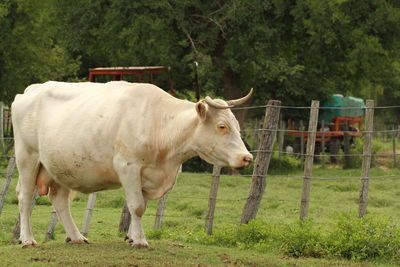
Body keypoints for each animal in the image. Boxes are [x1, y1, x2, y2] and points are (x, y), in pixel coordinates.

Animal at [12, 81, 253, 249]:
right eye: (221, 126)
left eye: (236, 125)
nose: (247, 158)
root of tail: (30, 90)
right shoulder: (127, 166)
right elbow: (137, 206)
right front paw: (140, 241)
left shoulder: (147, 174)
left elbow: (137, 207)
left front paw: (131, 236)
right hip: (27, 158)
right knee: (25, 198)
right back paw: (28, 239)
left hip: (61, 167)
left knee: (60, 201)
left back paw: (77, 236)